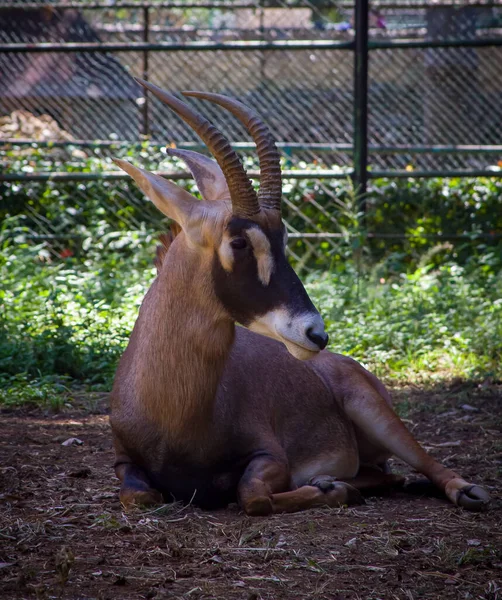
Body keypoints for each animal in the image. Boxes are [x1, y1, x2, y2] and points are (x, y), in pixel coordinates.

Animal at [112, 81, 492, 516]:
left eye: (284, 239)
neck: (172, 408)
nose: (316, 334)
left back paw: (462, 490)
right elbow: (139, 495)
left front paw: (328, 490)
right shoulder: (124, 460)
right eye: (239, 241)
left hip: (375, 412)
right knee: (387, 475)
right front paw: (330, 486)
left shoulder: (270, 455)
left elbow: (252, 496)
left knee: (424, 463)